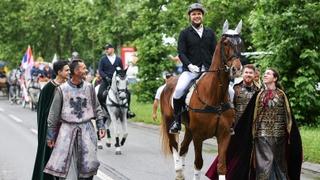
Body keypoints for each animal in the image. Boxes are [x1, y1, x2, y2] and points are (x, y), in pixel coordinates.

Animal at [160, 19, 242, 180]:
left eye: (240, 43)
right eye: (226, 43)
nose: (237, 69)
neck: (215, 96)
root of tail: (169, 81)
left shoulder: (224, 135)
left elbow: (221, 166)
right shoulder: (198, 136)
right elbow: (198, 163)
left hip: (189, 129)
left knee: (183, 148)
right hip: (169, 123)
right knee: (174, 146)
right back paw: (178, 171)